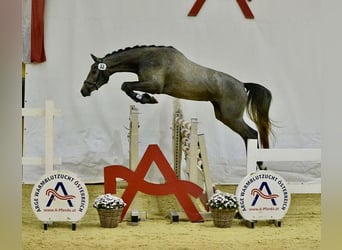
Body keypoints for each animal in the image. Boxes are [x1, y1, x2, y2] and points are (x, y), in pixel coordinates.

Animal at [81, 45, 272, 170]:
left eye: (94, 71)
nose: (83, 91)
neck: (146, 59)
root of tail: (242, 85)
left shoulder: (154, 85)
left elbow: (125, 85)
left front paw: (146, 99)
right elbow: (126, 86)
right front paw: (145, 99)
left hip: (232, 117)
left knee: (251, 134)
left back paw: (259, 165)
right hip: (223, 116)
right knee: (248, 136)